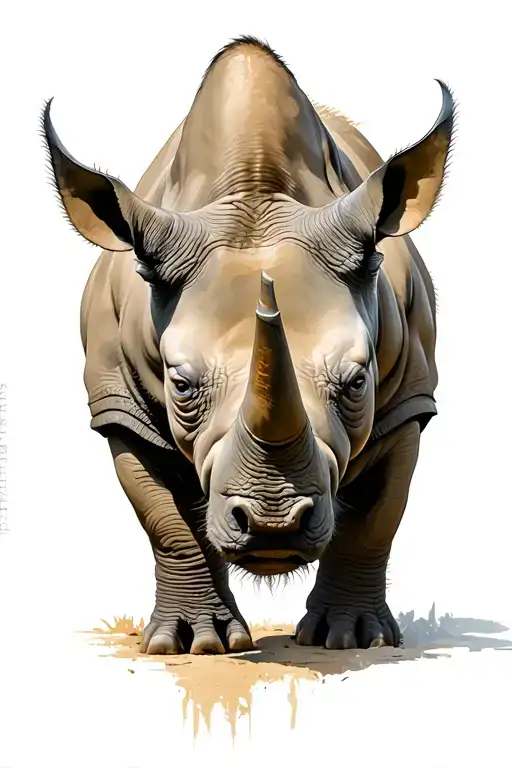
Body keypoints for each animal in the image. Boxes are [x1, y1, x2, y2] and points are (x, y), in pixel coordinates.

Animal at [43, 35, 454, 655]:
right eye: (180, 385)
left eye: (358, 382)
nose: (271, 525)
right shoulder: (118, 405)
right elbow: (165, 520)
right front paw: (193, 644)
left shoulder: (407, 399)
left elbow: (377, 516)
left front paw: (353, 639)